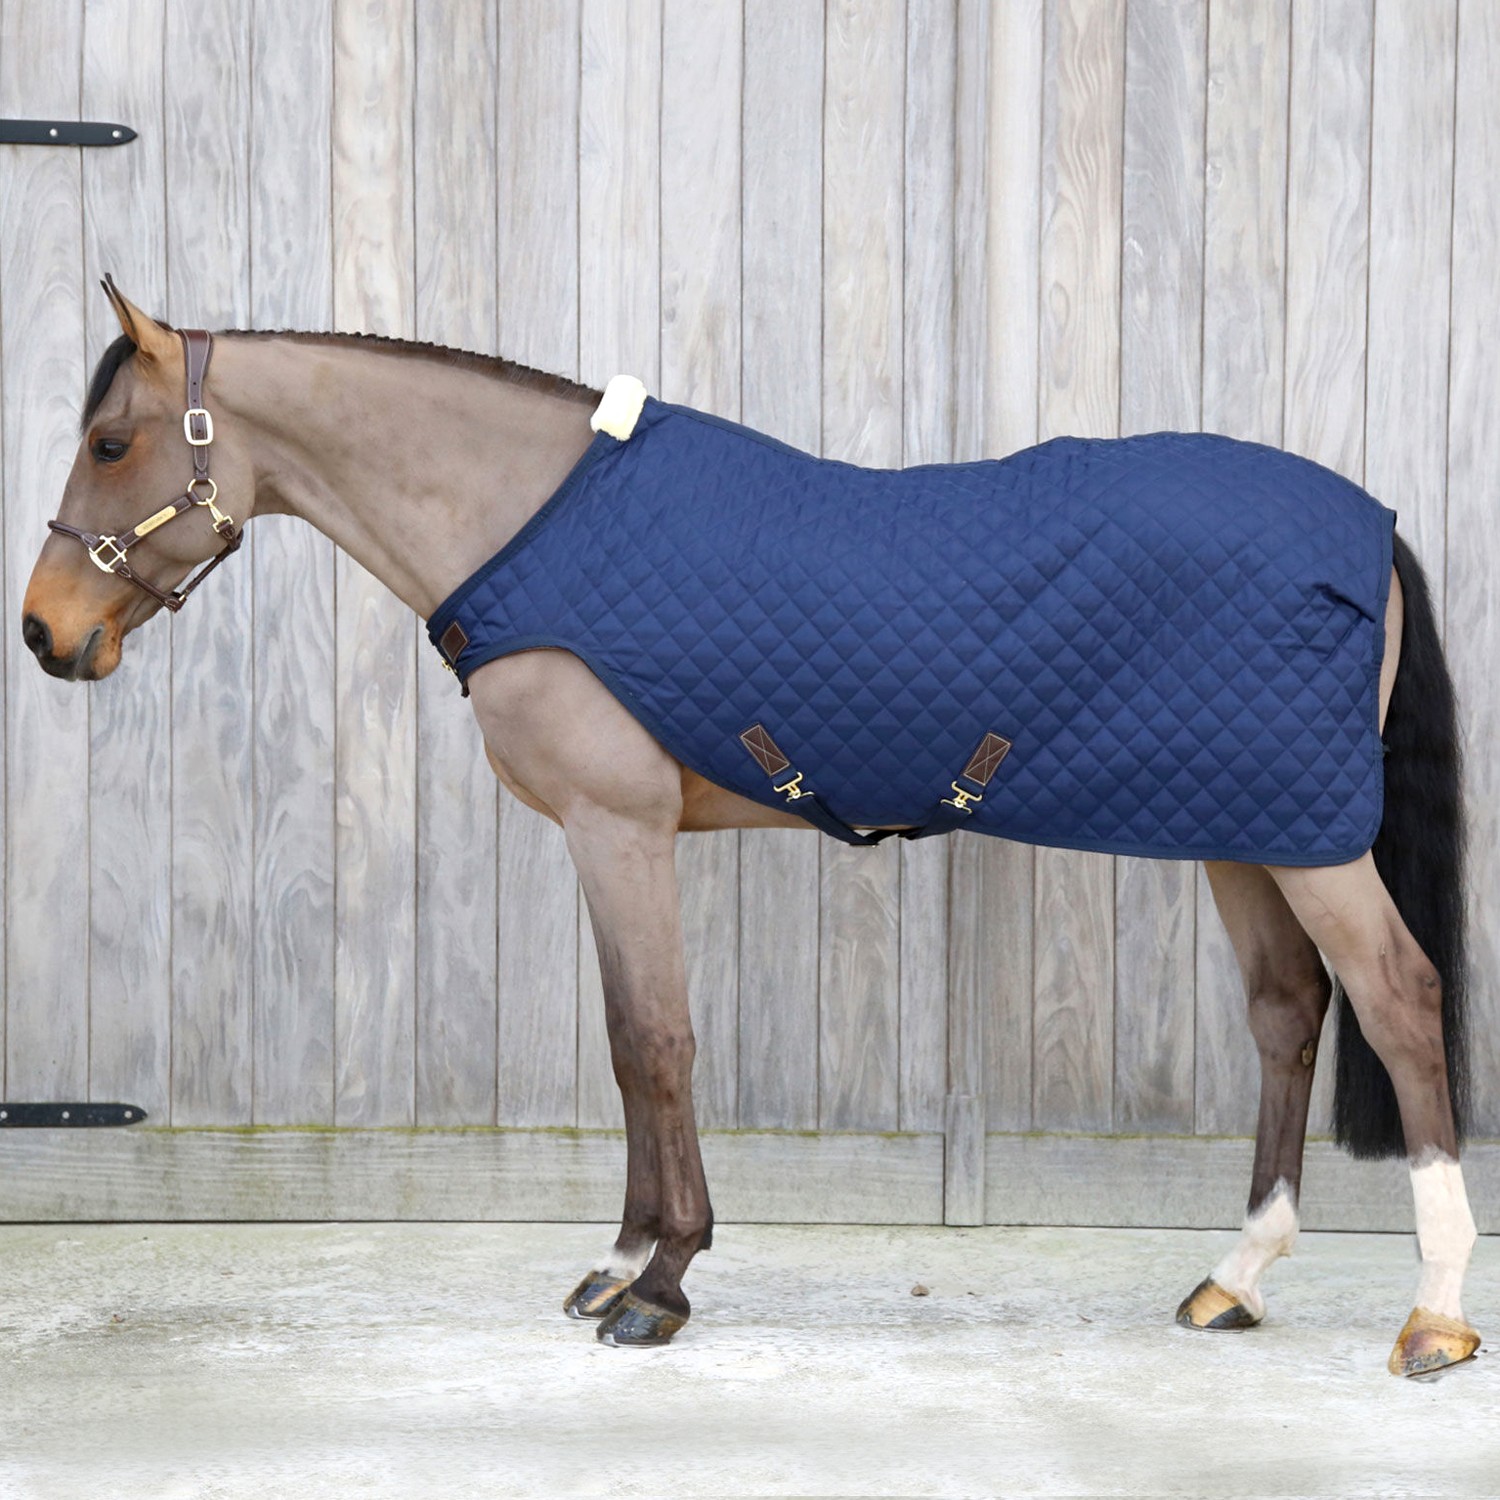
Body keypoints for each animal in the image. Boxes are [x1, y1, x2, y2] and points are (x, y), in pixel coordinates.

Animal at [20, 278, 1480, 1376]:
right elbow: (628, 1051)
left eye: (111, 445)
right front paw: (615, 1264)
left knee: (1399, 997)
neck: (533, 526)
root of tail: (1372, 525)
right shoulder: (604, 840)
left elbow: (655, 1045)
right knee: (1291, 1010)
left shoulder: (618, 831)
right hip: (1244, 822)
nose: (44, 632)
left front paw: (659, 1285)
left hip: (1305, 840)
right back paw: (1237, 1276)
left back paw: (1436, 1317)